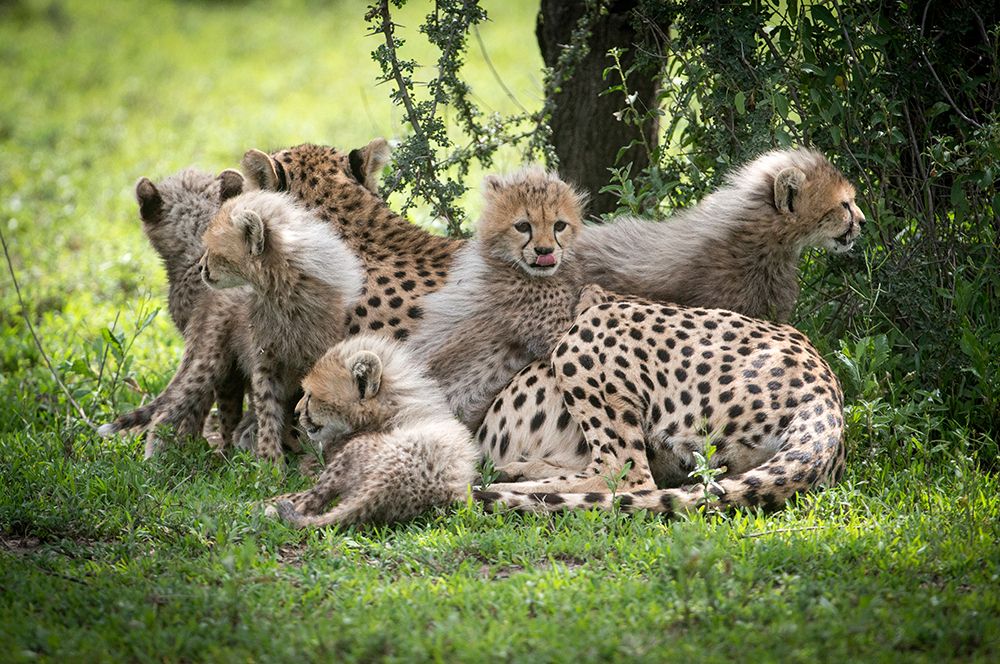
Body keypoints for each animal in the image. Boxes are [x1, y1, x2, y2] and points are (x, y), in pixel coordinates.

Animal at [200, 189, 364, 462]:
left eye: (213, 249)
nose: (200, 267)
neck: (280, 290)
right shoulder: (265, 363)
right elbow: (267, 410)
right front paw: (271, 461)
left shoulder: (313, 358)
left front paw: (312, 455)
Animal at [266, 334, 479, 527]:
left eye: (310, 396)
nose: (296, 412)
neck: (393, 407)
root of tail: (385, 484)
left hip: (353, 452)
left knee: (308, 501)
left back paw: (269, 507)